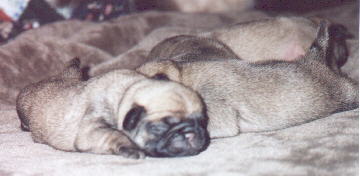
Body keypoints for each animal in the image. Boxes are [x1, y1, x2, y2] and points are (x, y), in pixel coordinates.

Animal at [16, 58, 208, 158]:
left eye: (203, 122)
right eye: (158, 128)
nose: (191, 133)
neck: (127, 90)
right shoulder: (92, 129)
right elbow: (114, 134)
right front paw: (131, 148)